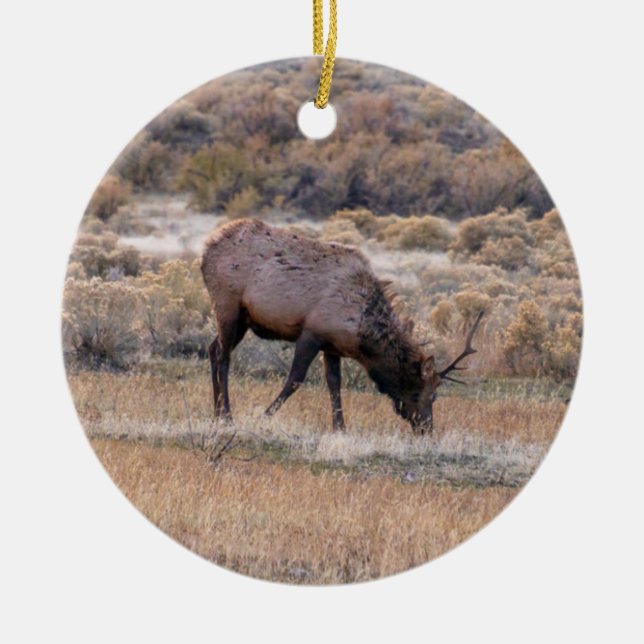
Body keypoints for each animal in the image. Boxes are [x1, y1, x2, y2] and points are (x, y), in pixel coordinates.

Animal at [201, 219, 483, 434]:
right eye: (431, 395)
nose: (427, 428)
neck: (361, 338)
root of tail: (206, 248)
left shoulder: (332, 345)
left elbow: (335, 383)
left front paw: (340, 427)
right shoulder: (311, 332)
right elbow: (295, 379)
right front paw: (264, 416)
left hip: (243, 319)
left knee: (213, 349)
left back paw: (215, 413)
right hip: (227, 305)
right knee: (224, 356)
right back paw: (227, 415)